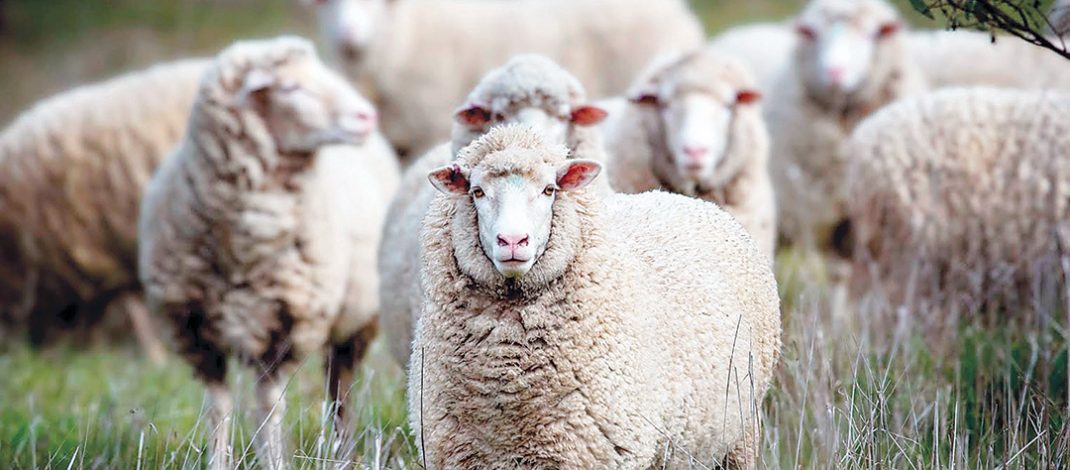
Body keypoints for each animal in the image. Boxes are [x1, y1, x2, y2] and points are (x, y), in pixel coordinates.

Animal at [138, 36, 395, 469]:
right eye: (290, 87)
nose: (367, 116)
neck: (243, 245)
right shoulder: (196, 332)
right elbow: (218, 408)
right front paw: (218, 461)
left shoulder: (284, 326)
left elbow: (268, 407)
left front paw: (274, 460)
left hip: (356, 320)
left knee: (340, 389)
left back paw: (344, 451)